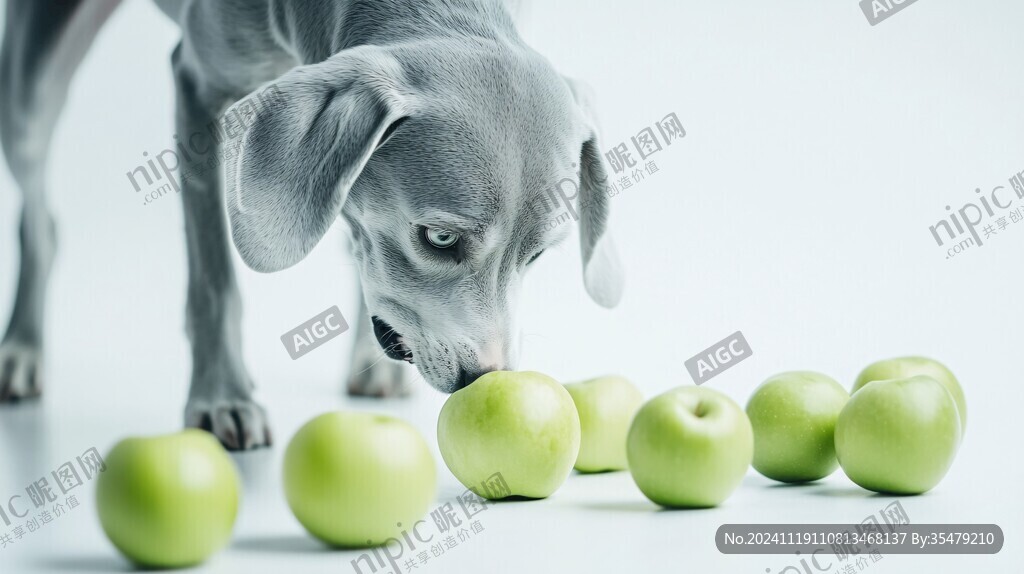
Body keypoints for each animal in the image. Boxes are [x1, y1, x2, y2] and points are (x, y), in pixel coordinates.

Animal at [0, 0, 618, 448]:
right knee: (41, 221)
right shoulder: (195, 87)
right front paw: (222, 398)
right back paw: (22, 350)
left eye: (537, 255)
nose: (485, 380)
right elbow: (214, 281)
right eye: (439, 238)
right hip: (29, 92)